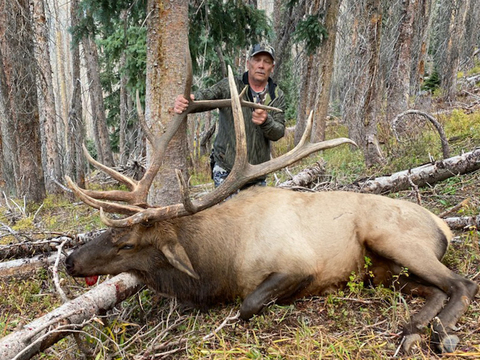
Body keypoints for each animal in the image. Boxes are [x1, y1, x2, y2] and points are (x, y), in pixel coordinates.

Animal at [64, 54, 476, 352]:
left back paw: (439, 334)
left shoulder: (297, 264)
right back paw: (413, 330)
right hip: (384, 273)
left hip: (390, 237)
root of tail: (443, 224)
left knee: (463, 283)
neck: (219, 263)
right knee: (437, 289)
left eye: (128, 243)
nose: (69, 260)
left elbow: (248, 305)